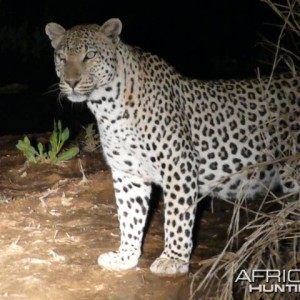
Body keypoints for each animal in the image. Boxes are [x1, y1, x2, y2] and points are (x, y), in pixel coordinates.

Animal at [45, 18, 300, 276]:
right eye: (62, 58)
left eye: (90, 55)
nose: (71, 83)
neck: (106, 106)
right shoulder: (128, 174)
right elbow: (129, 216)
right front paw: (126, 255)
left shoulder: (178, 166)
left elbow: (177, 216)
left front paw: (173, 259)